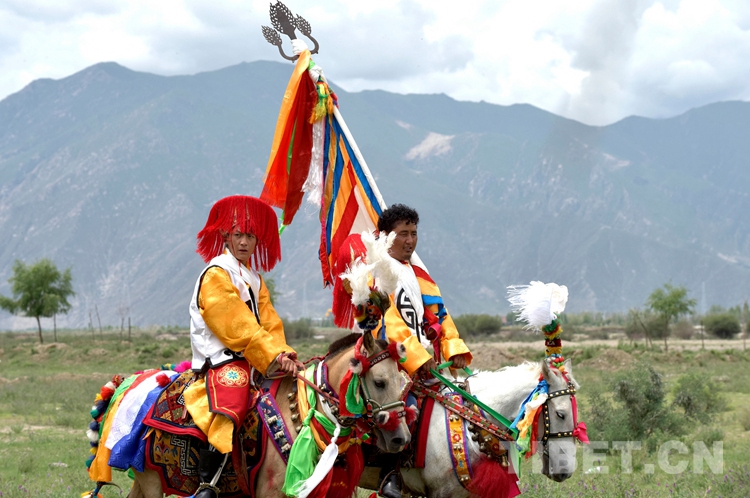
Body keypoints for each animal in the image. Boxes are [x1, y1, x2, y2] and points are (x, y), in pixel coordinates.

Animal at [86, 332, 413, 498]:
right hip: (152, 481)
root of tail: (132, 382)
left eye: (403, 382)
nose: (401, 438)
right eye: (379, 382)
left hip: (145, 479)